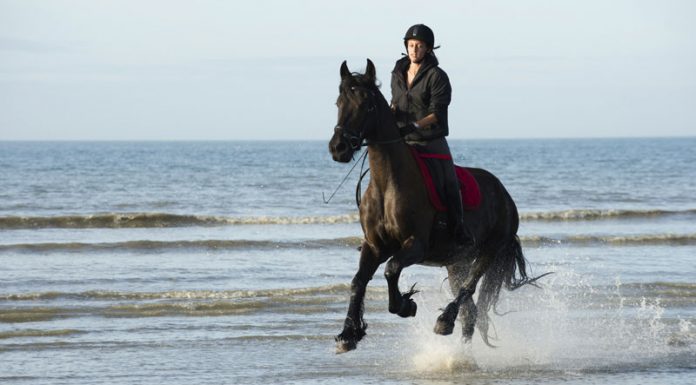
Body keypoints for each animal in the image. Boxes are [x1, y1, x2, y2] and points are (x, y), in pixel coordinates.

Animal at [328, 59, 540, 354]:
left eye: (366, 105)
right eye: (339, 102)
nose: (338, 148)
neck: (388, 184)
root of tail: (505, 195)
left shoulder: (415, 245)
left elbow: (391, 269)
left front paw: (405, 305)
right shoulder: (374, 246)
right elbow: (358, 282)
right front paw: (348, 334)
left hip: (488, 251)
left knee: (468, 290)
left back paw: (444, 322)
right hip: (456, 263)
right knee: (470, 311)